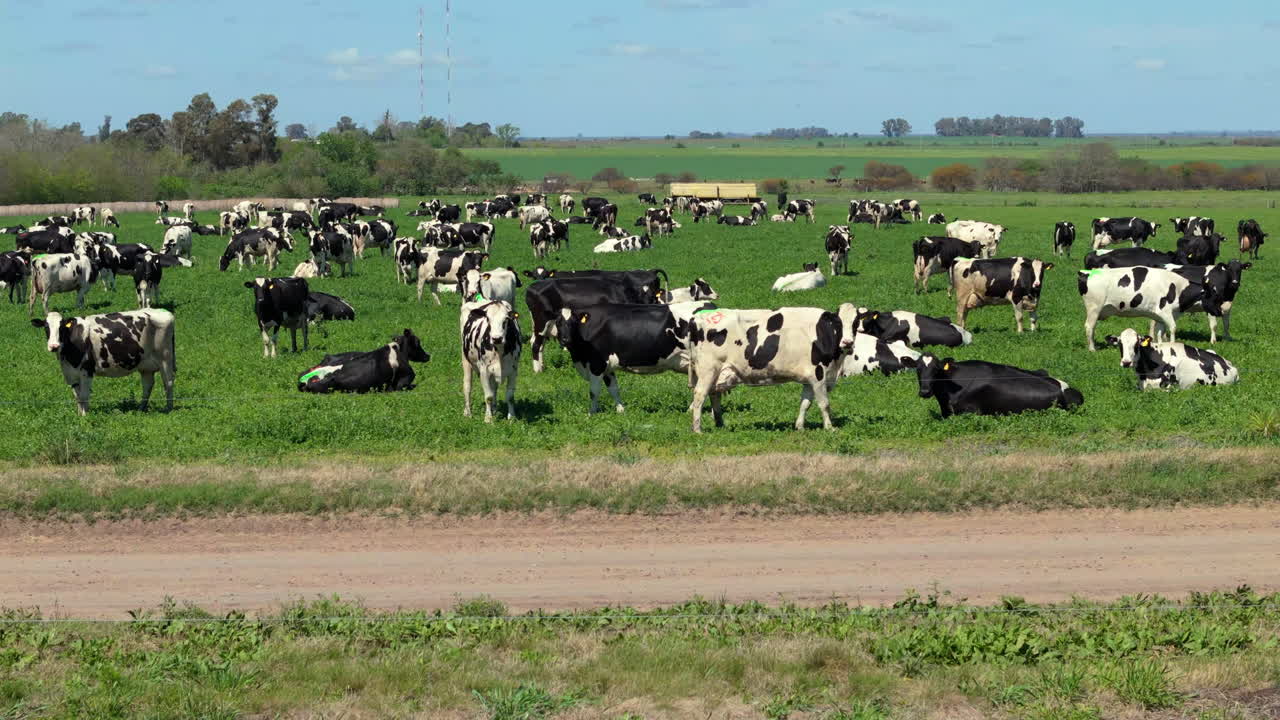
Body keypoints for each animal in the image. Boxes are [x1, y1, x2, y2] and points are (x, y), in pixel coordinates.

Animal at [31, 309, 177, 415]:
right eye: (46, 327)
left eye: (61, 328)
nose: (54, 346)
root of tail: (163, 311)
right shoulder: (70, 374)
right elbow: (77, 396)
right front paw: (79, 415)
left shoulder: (87, 371)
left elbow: (84, 395)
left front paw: (85, 417)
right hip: (145, 365)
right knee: (147, 385)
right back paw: (141, 409)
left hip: (165, 358)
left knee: (168, 382)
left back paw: (169, 409)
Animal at [555, 301, 714, 413]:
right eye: (557, 322)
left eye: (574, 322)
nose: (565, 340)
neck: (579, 357)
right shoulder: (607, 367)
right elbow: (613, 388)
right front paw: (621, 410)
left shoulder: (597, 363)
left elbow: (594, 391)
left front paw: (591, 413)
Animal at [685, 305, 858, 432]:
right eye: (838, 323)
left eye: (856, 323)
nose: (848, 342)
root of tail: (697, 318)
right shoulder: (819, 375)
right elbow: (824, 404)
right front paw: (830, 428)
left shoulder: (809, 379)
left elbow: (805, 403)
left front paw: (800, 427)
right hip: (708, 370)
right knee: (700, 395)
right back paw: (698, 429)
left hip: (718, 372)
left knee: (714, 394)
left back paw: (720, 424)